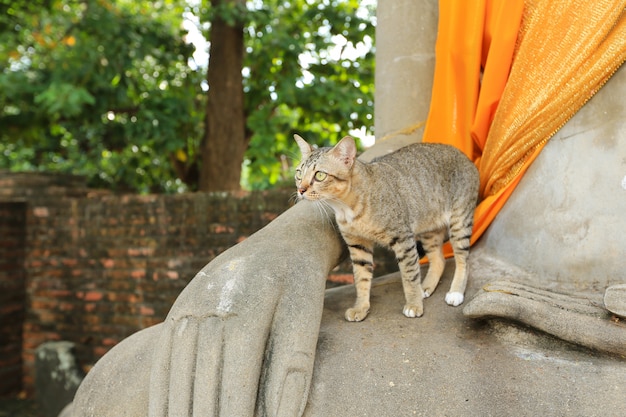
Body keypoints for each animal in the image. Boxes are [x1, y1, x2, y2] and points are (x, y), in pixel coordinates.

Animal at [292, 135, 478, 320]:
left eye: (320, 175)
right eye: (299, 174)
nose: (301, 190)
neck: (346, 208)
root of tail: (466, 157)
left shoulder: (403, 239)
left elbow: (410, 275)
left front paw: (414, 304)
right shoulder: (358, 245)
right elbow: (361, 278)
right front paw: (361, 307)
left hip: (460, 221)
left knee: (464, 259)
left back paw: (455, 292)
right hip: (429, 229)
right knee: (439, 259)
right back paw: (425, 287)